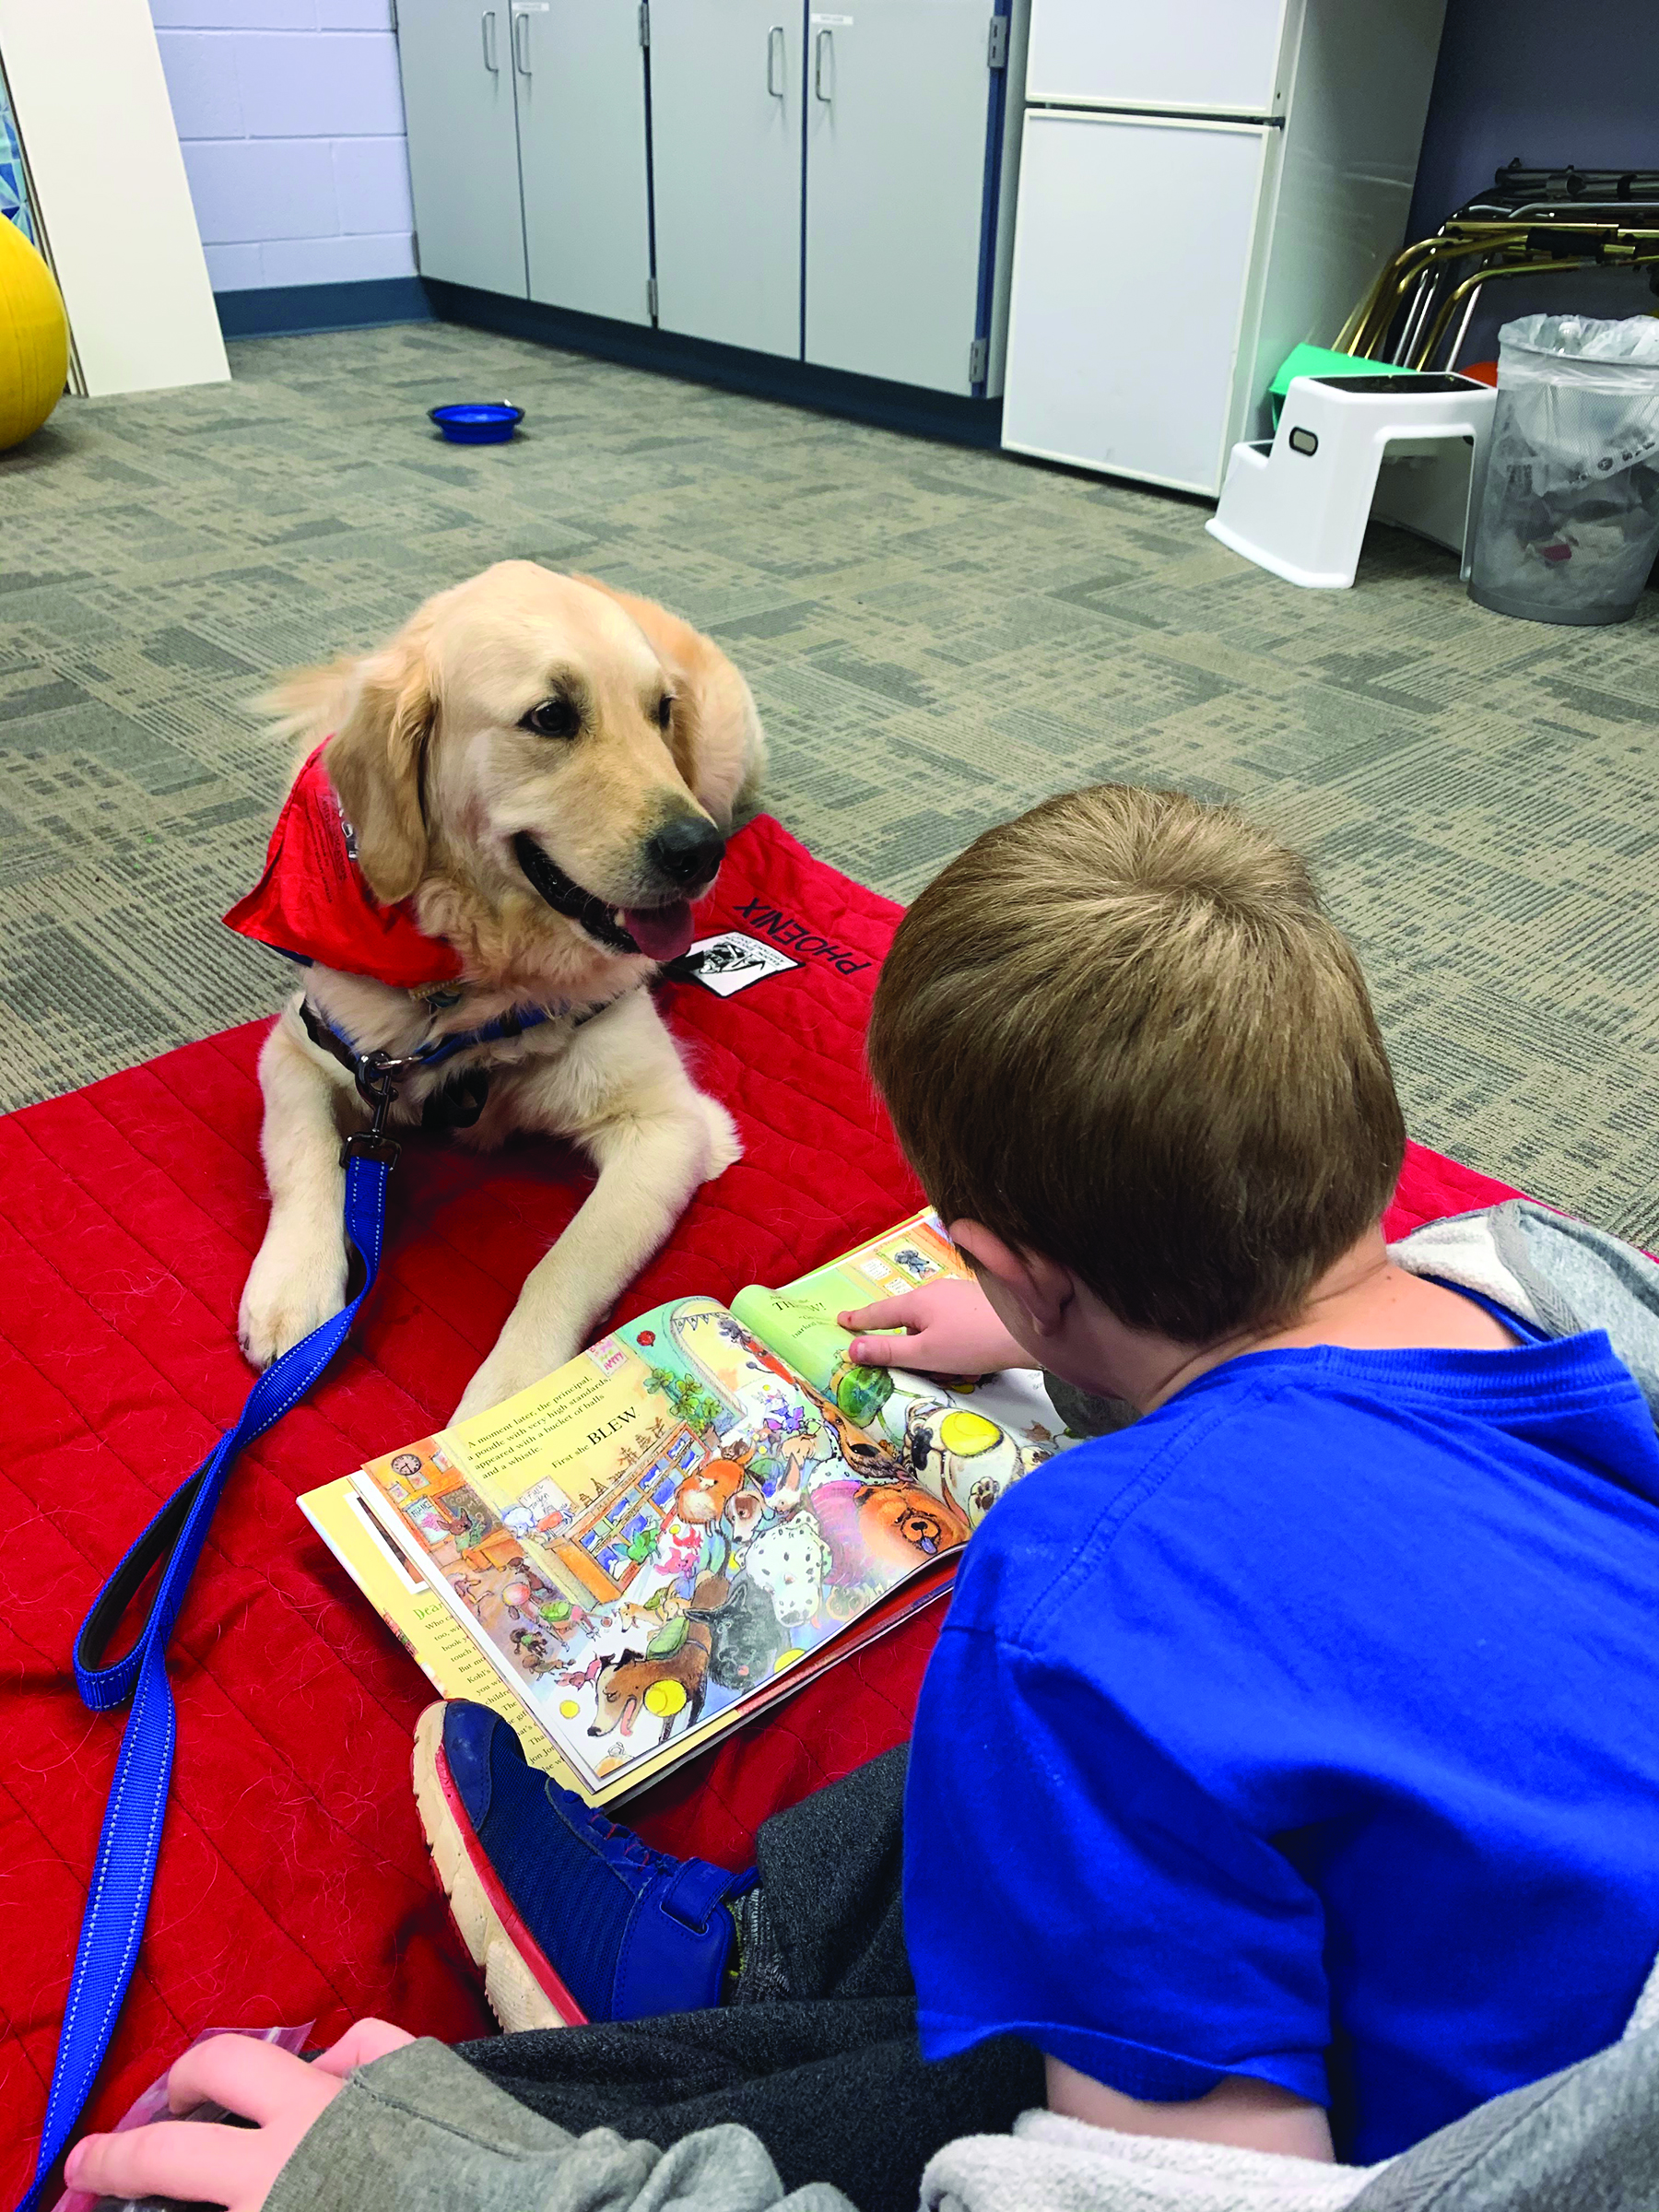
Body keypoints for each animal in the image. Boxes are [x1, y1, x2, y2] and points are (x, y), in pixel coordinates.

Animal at [239, 557, 765, 1416]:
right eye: (551, 717)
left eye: (659, 712)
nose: (700, 853)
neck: (483, 971)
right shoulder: (302, 1046)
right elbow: (303, 1151)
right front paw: (293, 1286)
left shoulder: (671, 1125)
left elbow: (562, 1265)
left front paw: (516, 1402)